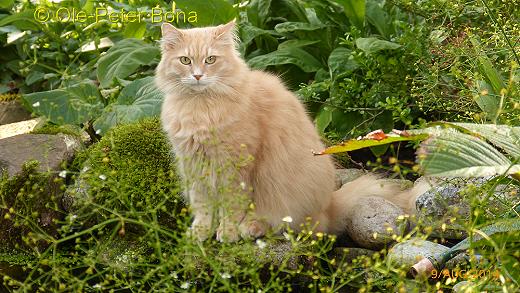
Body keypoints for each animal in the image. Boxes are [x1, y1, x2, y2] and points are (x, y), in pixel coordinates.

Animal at [154, 20, 426, 242]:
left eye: (210, 60)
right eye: (185, 60)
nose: (198, 76)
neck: (200, 109)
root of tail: (329, 205)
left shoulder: (235, 166)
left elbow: (231, 207)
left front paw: (228, 232)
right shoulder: (193, 164)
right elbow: (202, 205)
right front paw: (200, 232)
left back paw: (250, 228)